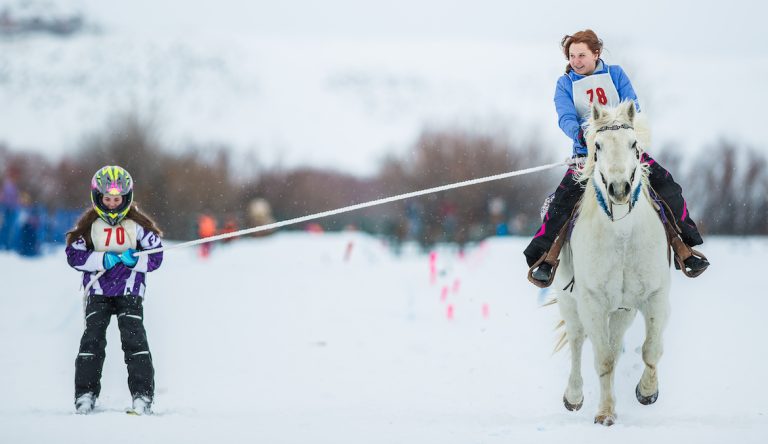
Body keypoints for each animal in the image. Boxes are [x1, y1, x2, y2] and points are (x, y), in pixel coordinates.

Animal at [552, 101, 672, 426]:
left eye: (633, 144)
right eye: (597, 145)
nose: (619, 188)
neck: (622, 236)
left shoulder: (655, 296)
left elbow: (651, 350)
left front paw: (647, 392)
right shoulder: (592, 303)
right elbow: (602, 358)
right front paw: (605, 413)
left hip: (622, 311)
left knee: (616, 345)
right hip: (570, 302)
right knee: (578, 340)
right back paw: (573, 397)